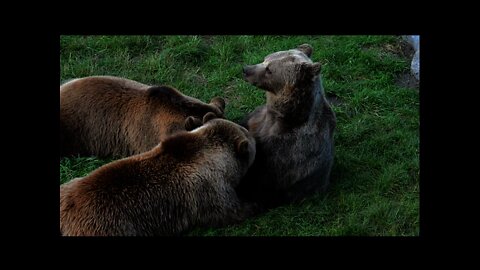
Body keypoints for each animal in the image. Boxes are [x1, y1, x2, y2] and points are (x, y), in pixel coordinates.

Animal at [61, 113, 258, 235]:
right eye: (251, 138)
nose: (252, 133)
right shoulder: (208, 189)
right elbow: (231, 211)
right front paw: (256, 203)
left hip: (67, 186)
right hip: (109, 226)